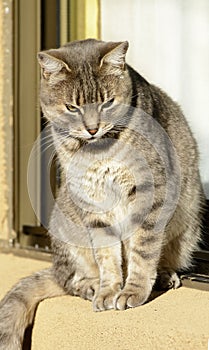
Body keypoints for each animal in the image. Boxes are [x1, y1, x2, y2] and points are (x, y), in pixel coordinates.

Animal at [0, 39, 204, 348]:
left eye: (107, 102)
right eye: (72, 107)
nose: (92, 128)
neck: (98, 150)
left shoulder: (150, 190)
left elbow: (142, 249)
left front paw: (133, 290)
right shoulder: (92, 201)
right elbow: (107, 256)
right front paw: (109, 290)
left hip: (188, 225)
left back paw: (164, 275)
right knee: (69, 280)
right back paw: (93, 286)